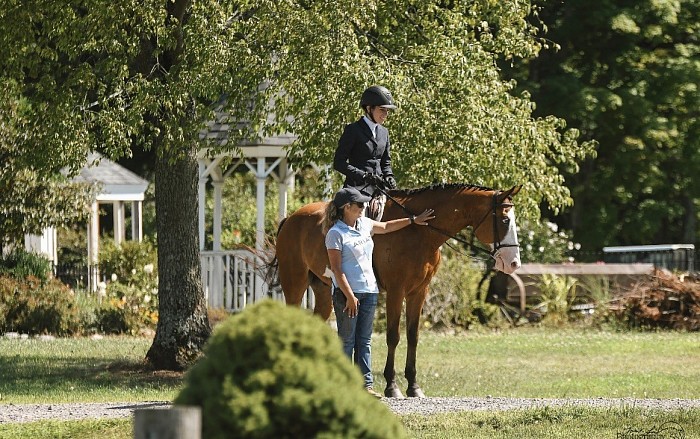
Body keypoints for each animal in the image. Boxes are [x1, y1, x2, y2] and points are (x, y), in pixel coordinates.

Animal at [268, 183, 520, 398]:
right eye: (504, 220)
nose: (514, 263)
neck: (419, 232)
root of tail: (291, 217)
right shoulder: (396, 291)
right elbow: (393, 336)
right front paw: (392, 386)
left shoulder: (419, 292)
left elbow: (413, 336)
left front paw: (414, 386)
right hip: (295, 284)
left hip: (322, 291)